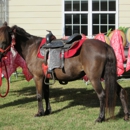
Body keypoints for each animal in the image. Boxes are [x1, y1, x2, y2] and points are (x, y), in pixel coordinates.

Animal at [0, 22, 129, 122]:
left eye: (4, 40)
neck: (32, 48)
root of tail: (106, 46)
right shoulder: (45, 78)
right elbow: (46, 94)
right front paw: (47, 111)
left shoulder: (38, 77)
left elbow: (39, 95)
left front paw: (40, 112)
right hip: (107, 76)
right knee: (121, 92)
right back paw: (126, 115)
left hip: (94, 78)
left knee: (102, 95)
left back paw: (100, 118)